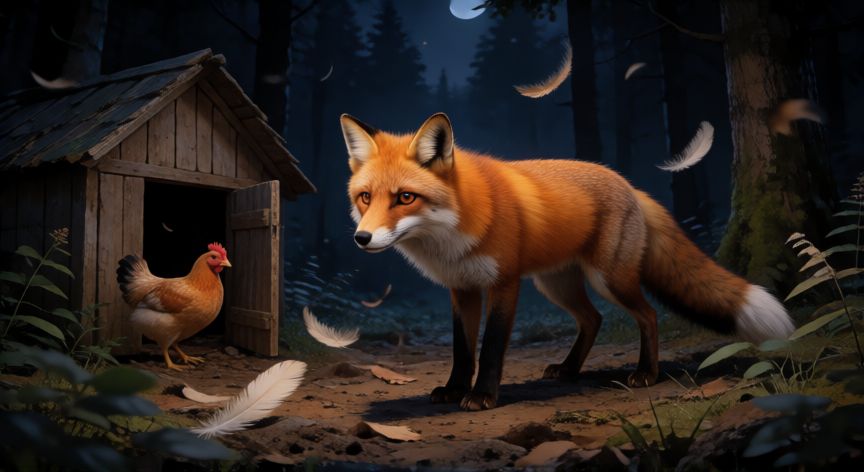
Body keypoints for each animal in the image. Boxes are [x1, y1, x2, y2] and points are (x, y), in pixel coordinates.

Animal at [340, 112, 795, 411]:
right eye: (365, 197)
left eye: (405, 197)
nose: (362, 238)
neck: (454, 230)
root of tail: (630, 186)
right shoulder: (463, 288)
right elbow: (462, 349)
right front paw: (454, 390)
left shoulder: (505, 284)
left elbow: (491, 348)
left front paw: (483, 395)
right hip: (557, 285)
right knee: (593, 319)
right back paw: (570, 368)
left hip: (608, 279)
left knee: (647, 315)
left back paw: (646, 373)